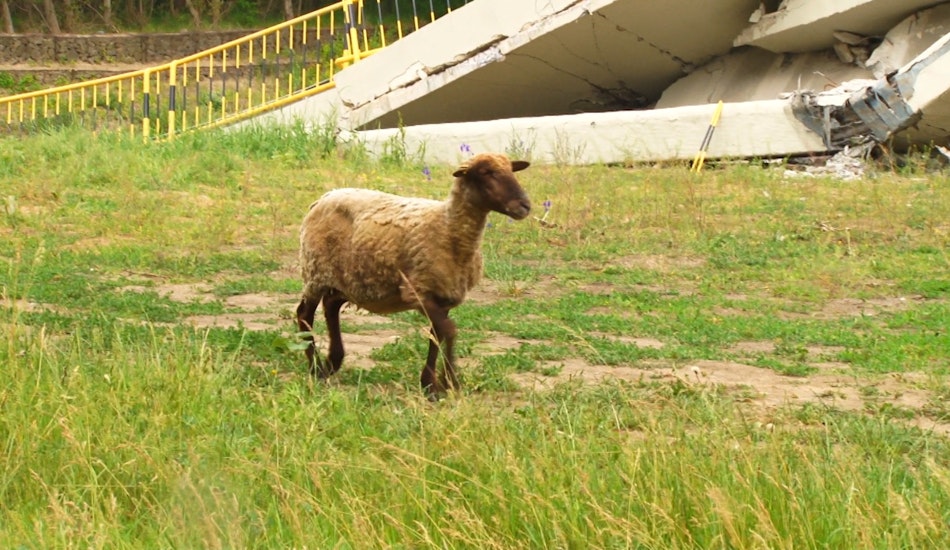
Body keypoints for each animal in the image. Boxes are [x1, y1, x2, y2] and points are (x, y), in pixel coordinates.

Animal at [296, 153, 532, 398]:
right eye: (486, 172)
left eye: (511, 170)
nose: (525, 205)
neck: (448, 227)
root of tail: (324, 197)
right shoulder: (417, 291)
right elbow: (449, 330)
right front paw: (449, 381)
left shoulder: (443, 295)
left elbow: (437, 334)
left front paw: (430, 385)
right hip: (315, 272)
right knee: (304, 314)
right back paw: (316, 368)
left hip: (348, 279)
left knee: (331, 304)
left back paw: (332, 362)